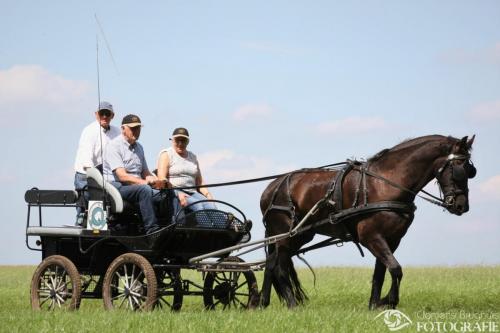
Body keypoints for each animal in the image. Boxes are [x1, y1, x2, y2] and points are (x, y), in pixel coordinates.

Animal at [262, 134, 476, 308]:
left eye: (471, 170)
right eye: (459, 169)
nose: (461, 206)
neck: (384, 183)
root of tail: (270, 188)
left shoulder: (392, 239)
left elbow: (380, 272)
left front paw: (374, 304)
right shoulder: (371, 237)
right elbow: (396, 269)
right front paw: (388, 301)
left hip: (300, 235)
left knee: (271, 264)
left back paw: (261, 303)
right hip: (284, 235)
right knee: (279, 267)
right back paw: (291, 304)